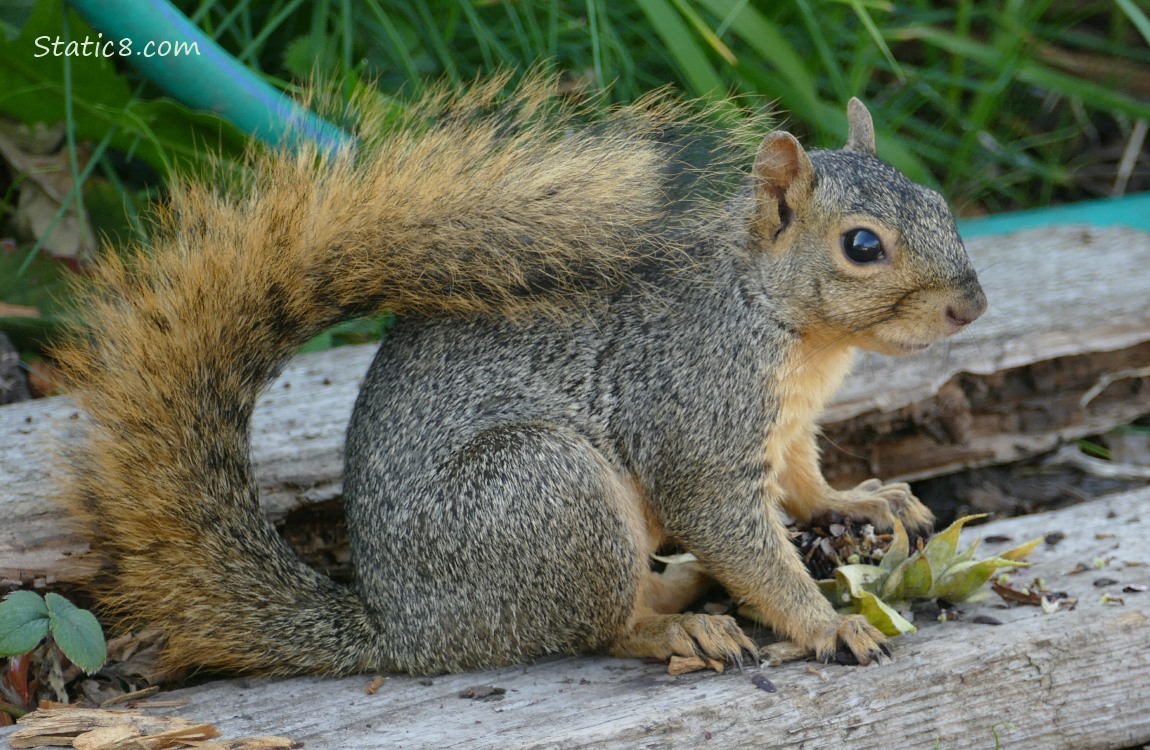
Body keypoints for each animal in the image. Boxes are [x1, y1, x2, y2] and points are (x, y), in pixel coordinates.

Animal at [54, 76, 986, 677]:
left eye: (941, 203)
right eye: (861, 245)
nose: (972, 306)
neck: (782, 321)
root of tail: (408, 632)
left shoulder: (784, 428)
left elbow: (803, 484)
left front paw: (865, 501)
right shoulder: (698, 414)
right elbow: (737, 531)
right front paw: (827, 627)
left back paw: (684, 584)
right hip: (545, 491)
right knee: (595, 629)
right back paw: (679, 631)